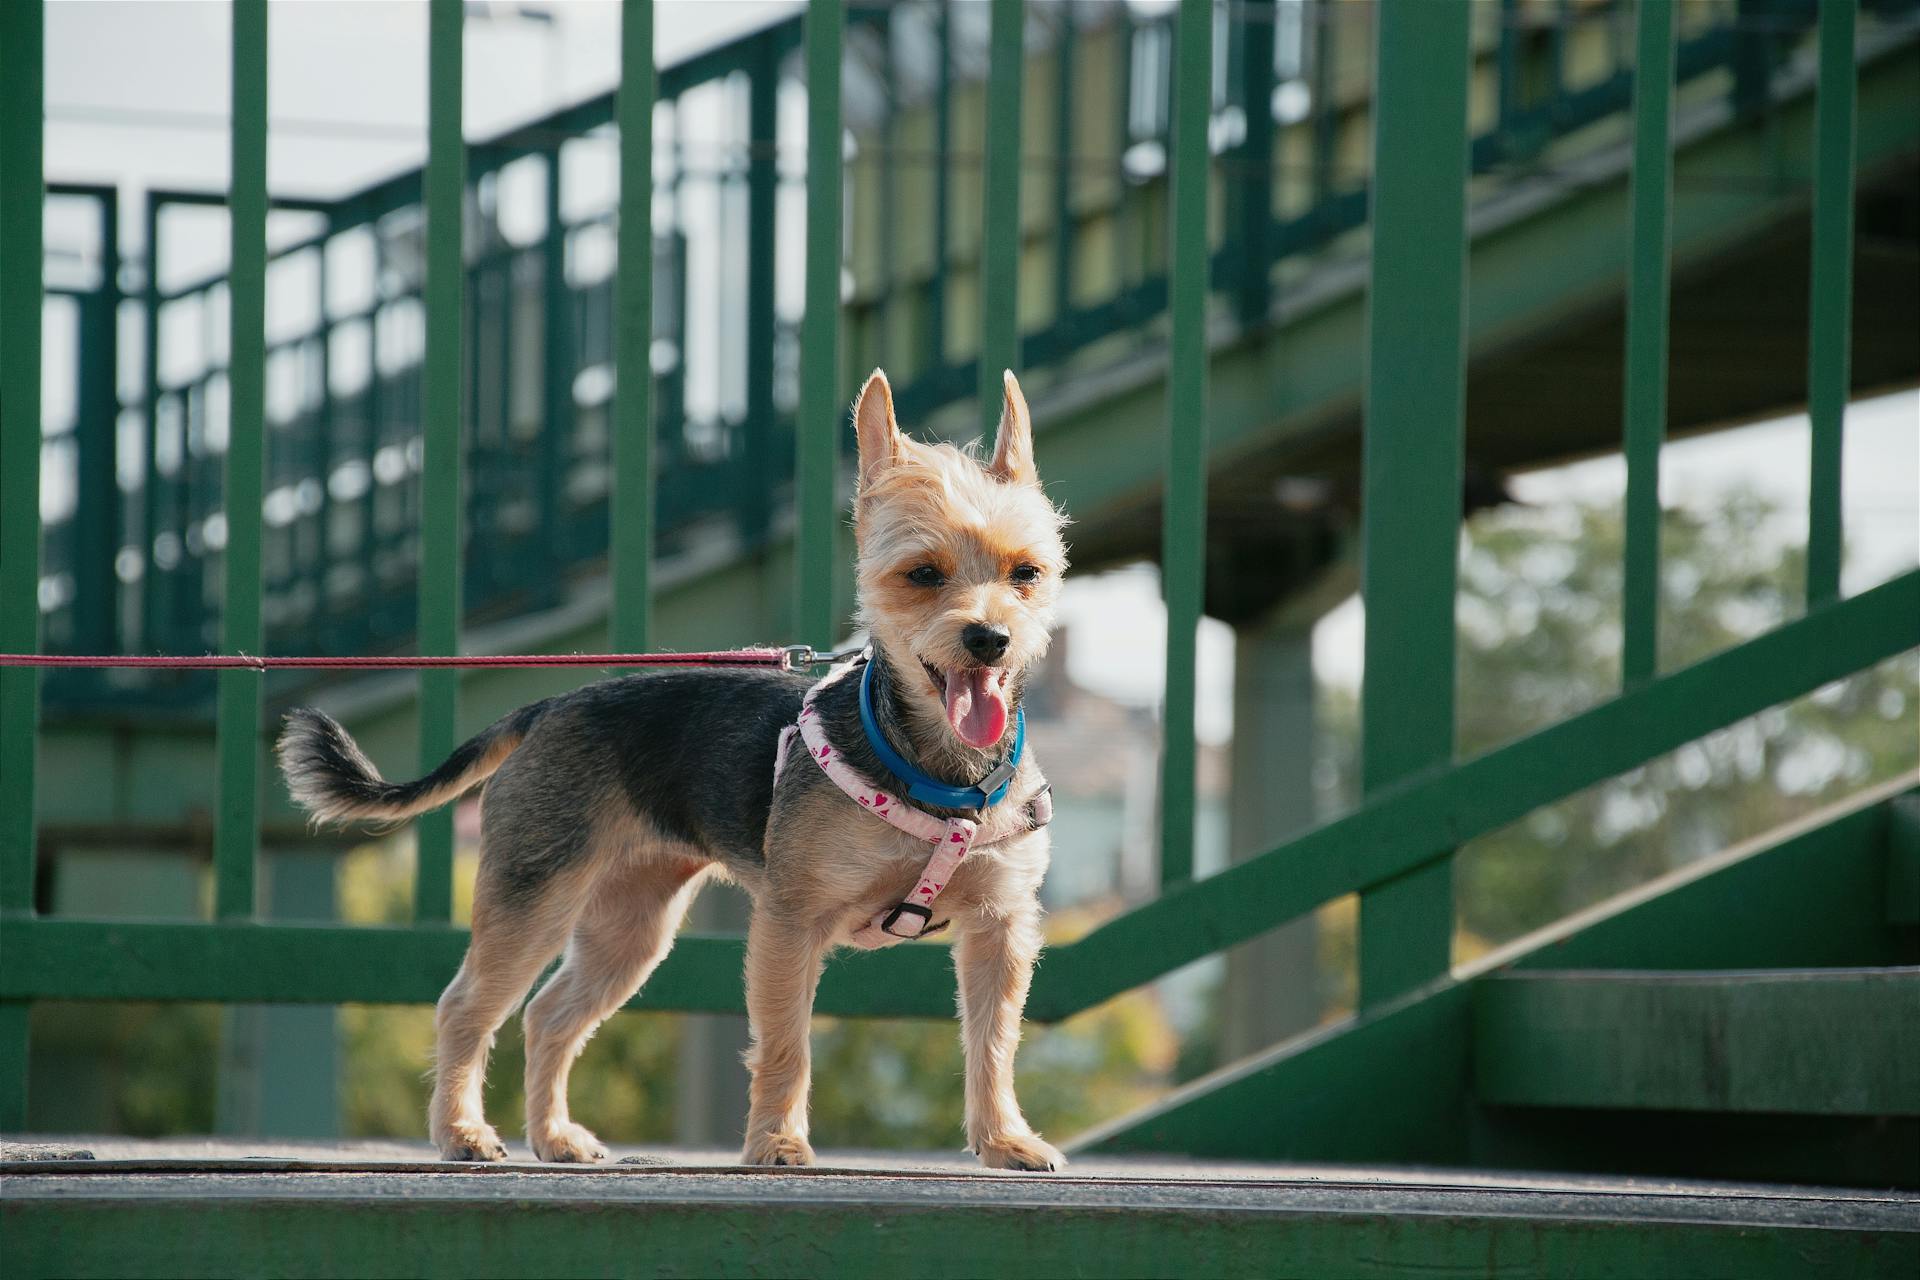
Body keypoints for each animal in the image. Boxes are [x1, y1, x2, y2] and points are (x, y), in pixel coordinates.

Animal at [278, 370, 1075, 1174]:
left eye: (1027, 573)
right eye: (923, 574)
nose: (989, 638)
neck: (938, 766)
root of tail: (546, 706)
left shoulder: (1001, 927)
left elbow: (994, 1044)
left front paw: (1004, 1139)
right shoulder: (791, 921)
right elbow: (785, 1044)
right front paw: (776, 1142)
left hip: (630, 922)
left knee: (549, 1014)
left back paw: (555, 1136)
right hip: (534, 896)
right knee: (467, 1005)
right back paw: (463, 1132)